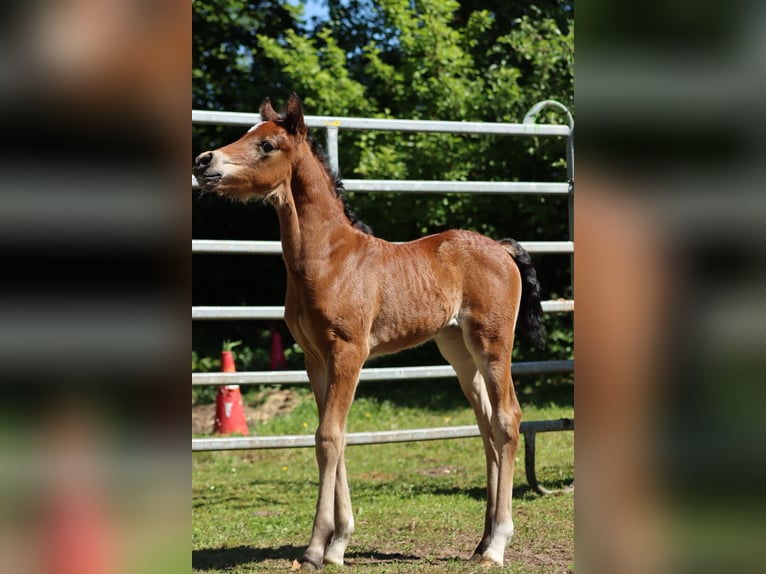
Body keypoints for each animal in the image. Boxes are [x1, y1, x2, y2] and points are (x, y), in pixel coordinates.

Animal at [195, 94, 548, 572]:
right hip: (459, 350)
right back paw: (480, 541)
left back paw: (497, 545)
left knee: (508, 418)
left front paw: (315, 549)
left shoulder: (349, 352)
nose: (204, 161)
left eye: (266, 144)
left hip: (493, 344)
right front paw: (339, 544)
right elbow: (335, 437)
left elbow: (328, 438)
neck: (328, 258)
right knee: (487, 425)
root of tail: (502, 248)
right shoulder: (315, 359)